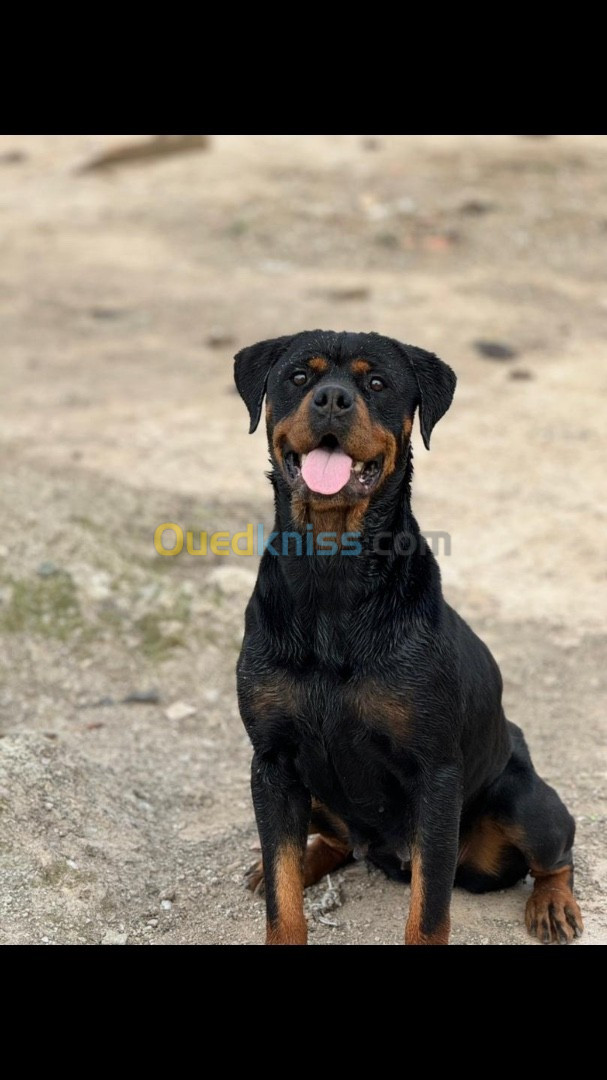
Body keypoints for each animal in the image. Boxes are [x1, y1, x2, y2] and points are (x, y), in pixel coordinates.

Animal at [232, 328, 583, 946]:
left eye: (377, 383)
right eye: (299, 377)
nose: (331, 399)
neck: (332, 577)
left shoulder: (435, 773)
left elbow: (430, 907)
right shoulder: (272, 763)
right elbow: (282, 890)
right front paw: (282, 887)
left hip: (523, 802)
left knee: (557, 853)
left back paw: (552, 904)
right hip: (310, 790)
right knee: (332, 841)